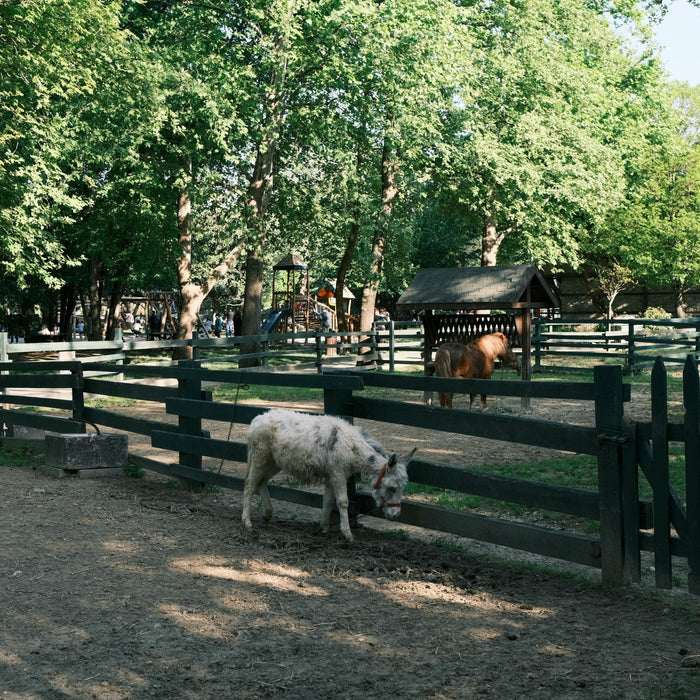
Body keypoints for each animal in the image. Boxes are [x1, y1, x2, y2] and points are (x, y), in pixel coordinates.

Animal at [241, 409, 417, 542]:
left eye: (403, 488)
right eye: (393, 488)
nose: (396, 516)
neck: (351, 445)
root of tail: (256, 420)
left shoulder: (332, 475)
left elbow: (328, 501)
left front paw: (324, 527)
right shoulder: (338, 474)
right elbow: (343, 502)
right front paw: (347, 534)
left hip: (273, 463)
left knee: (261, 482)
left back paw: (267, 515)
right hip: (260, 457)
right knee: (250, 485)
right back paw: (247, 522)